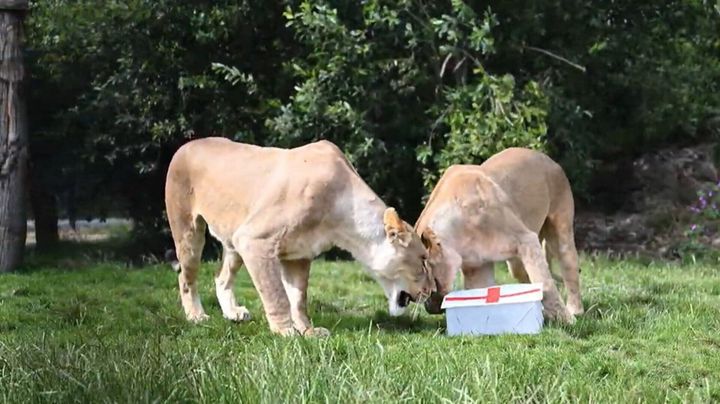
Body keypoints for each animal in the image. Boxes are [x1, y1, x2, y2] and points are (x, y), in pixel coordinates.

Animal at [165, 137, 436, 336]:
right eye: (423, 260)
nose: (432, 290)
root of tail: (187, 143)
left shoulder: (299, 255)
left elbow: (298, 298)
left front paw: (308, 332)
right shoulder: (255, 240)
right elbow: (276, 294)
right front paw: (285, 332)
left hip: (233, 241)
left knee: (221, 278)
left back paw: (233, 313)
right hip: (189, 231)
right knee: (185, 278)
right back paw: (196, 316)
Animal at [415, 148, 583, 323]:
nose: (427, 307)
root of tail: (548, 158)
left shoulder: (526, 240)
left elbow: (545, 283)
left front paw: (566, 320)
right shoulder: (477, 267)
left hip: (560, 229)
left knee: (569, 265)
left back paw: (575, 310)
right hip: (516, 263)